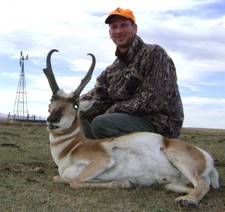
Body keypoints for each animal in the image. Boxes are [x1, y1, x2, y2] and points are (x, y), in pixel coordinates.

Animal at [44, 49, 220, 205]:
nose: (52, 119)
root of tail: (205, 155)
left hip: (179, 160)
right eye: (51, 100)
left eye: (75, 105)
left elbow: (73, 181)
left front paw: (123, 182)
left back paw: (188, 201)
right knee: (194, 186)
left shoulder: (103, 161)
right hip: (173, 183)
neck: (72, 148)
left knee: (202, 186)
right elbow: (59, 178)